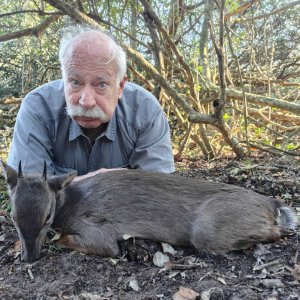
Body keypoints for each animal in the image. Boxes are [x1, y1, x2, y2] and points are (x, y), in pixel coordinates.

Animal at [0, 161, 298, 262]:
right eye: (13, 217)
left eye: (47, 217)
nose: (29, 258)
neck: (70, 203)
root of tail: (270, 203)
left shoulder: (100, 232)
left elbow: (72, 240)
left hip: (208, 230)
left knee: (277, 232)